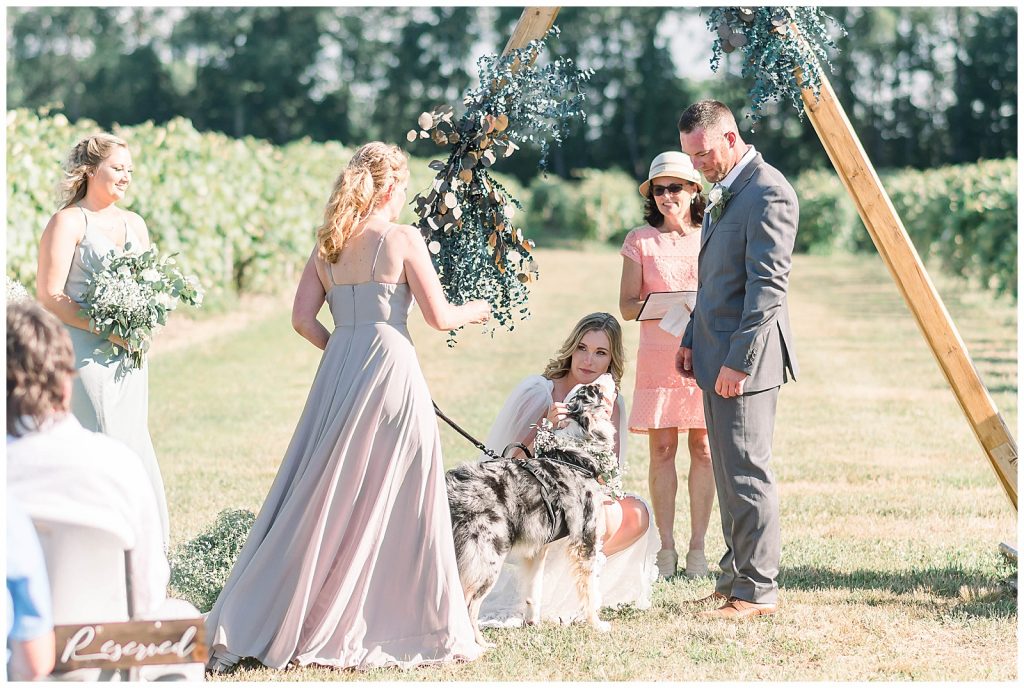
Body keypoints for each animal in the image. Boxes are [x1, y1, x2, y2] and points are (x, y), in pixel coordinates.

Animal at [442, 376, 614, 647]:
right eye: (594, 390)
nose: (607, 375)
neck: (575, 455)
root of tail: (452, 485)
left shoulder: (538, 547)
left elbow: (534, 591)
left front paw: (533, 624)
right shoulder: (587, 539)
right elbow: (591, 591)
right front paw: (597, 625)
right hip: (487, 557)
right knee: (469, 604)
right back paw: (480, 645)